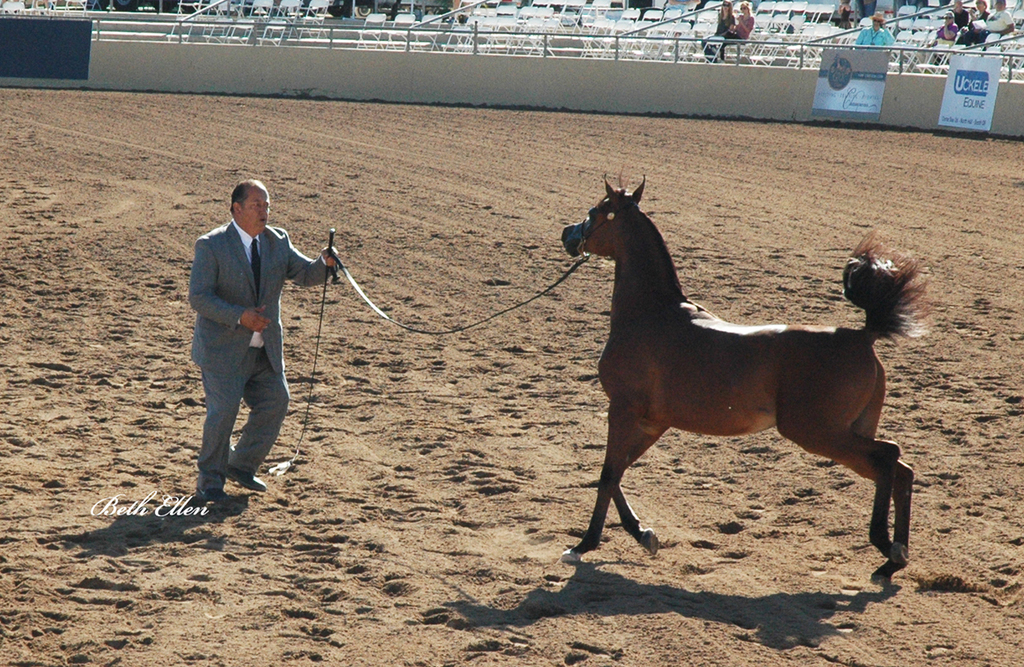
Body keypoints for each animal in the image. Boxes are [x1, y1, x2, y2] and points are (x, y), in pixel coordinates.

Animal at [559, 179, 928, 580]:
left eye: (595, 210)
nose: (568, 234)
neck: (650, 314)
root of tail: (862, 336)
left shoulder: (623, 410)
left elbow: (608, 474)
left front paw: (583, 546)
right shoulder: (651, 422)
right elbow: (618, 473)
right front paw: (643, 534)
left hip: (820, 433)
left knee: (889, 457)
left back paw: (887, 547)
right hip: (849, 431)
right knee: (898, 470)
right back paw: (891, 561)